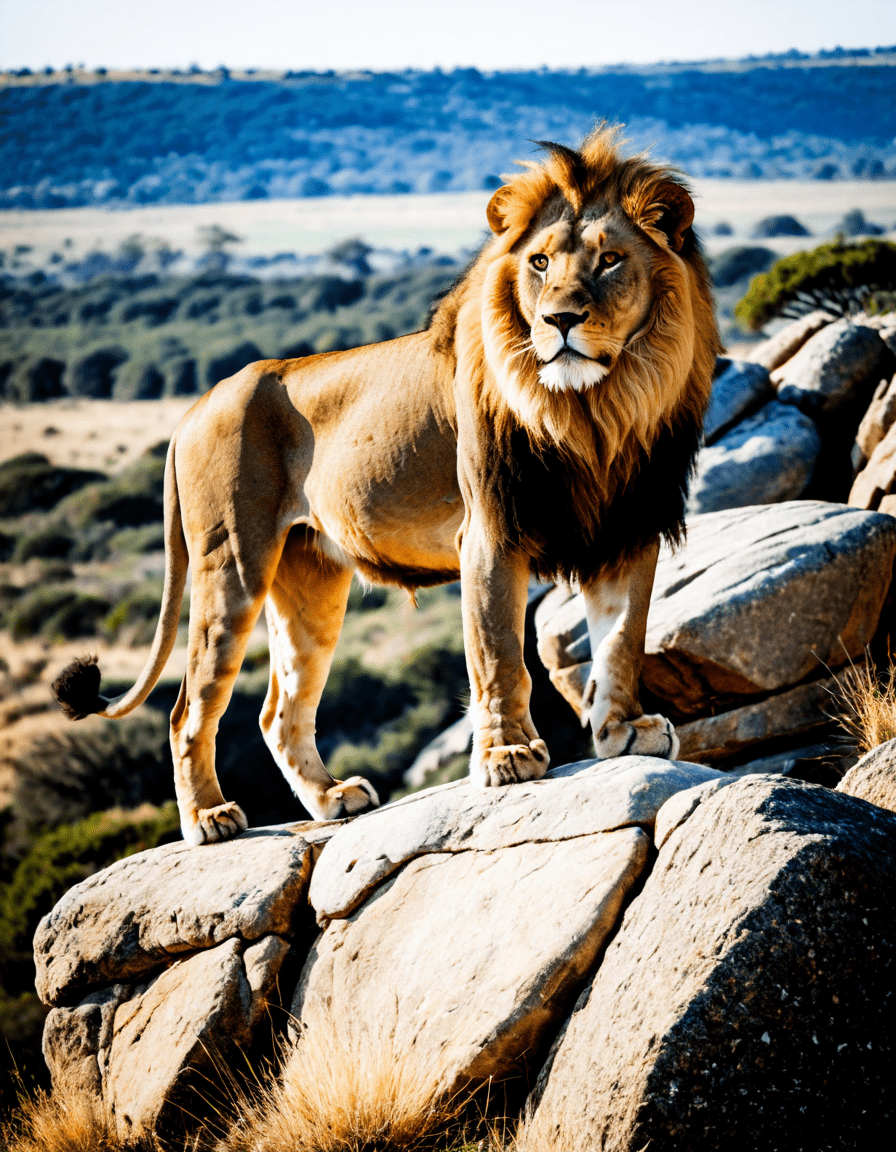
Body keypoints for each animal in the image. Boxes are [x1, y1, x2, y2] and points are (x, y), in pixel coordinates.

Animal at [53, 125, 720, 845]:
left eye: (610, 261)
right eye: (540, 263)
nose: (560, 320)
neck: (598, 407)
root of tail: (196, 405)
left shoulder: (627, 527)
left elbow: (621, 640)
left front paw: (624, 731)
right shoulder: (490, 531)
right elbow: (498, 652)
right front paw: (509, 755)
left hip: (310, 583)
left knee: (278, 712)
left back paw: (331, 800)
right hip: (229, 566)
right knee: (188, 709)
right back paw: (209, 819)